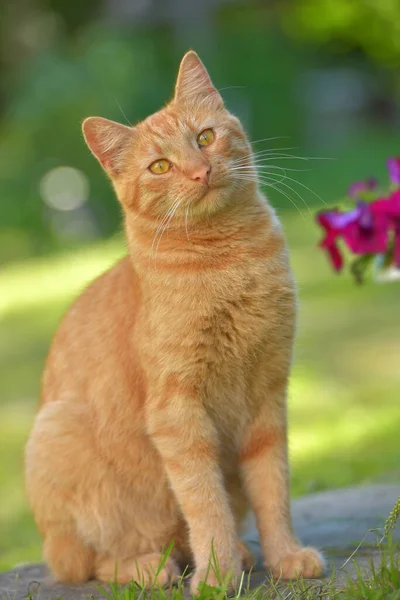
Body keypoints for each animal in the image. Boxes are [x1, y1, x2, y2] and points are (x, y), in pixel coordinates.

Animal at [24, 50, 324, 592]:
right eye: (160, 166)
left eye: (204, 137)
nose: (200, 171)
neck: (229, 262)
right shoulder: (177, 414)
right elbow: (205, 503)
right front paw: (217, 576)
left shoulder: (268, 395)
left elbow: (273, 489)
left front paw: (285, 556)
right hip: (56, 435)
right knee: (85, 562)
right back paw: (152, 567)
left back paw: (240, 555)